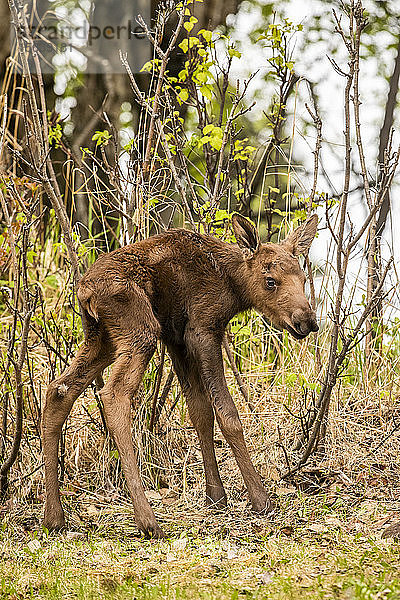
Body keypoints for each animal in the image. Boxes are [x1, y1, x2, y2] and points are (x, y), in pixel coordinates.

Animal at [43, 213, 318, 536]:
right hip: (140, 329)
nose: (306, 321)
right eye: (270, 281)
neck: (233, 286)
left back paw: (54, 517)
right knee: (114, 394)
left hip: (102, 339)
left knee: (59, 390)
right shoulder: (203, 329)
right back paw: (147, 520)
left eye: (303, 279)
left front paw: (216, 495)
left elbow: (200, 412)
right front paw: (260, 499)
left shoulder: (176, 339)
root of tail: (84, 291)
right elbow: (227, 415)